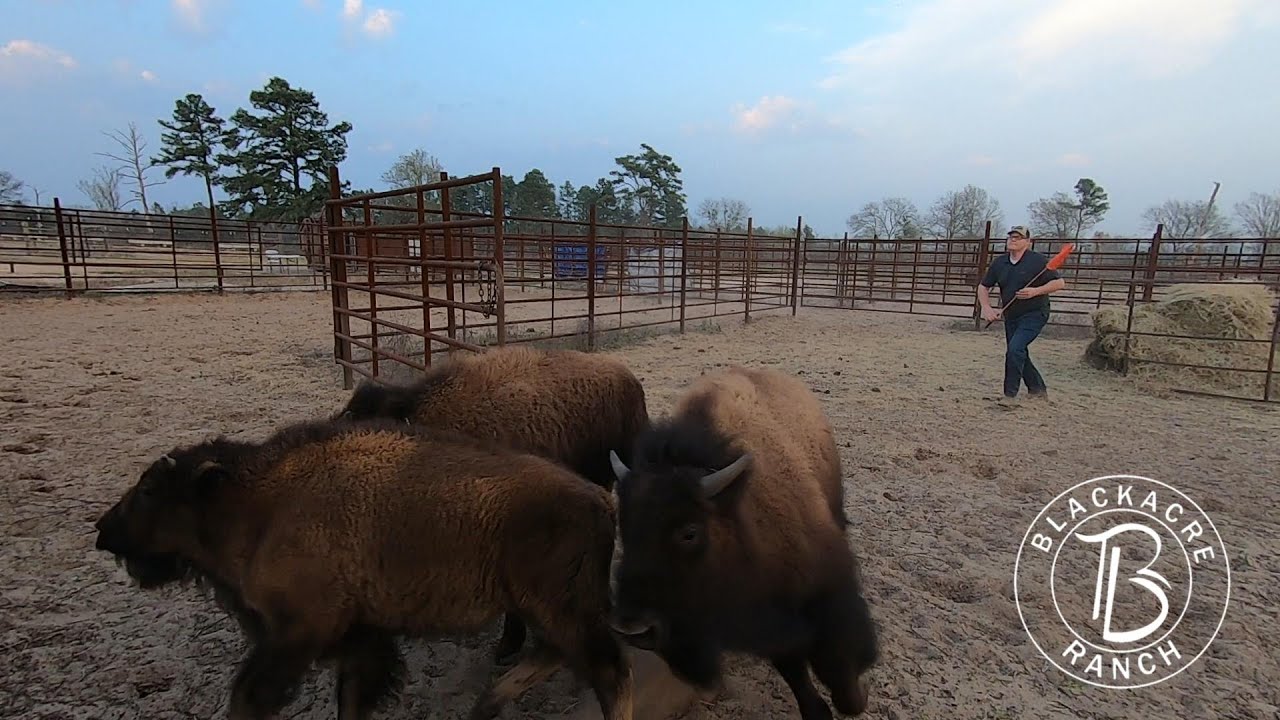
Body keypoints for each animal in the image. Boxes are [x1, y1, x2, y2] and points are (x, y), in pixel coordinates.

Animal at [93, 417, 633, 720]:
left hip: (560, 611)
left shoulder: (297, 633)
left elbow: (249, 698)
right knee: (559, 656)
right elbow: (350, 698)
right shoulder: (359, 640)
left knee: (609, 672)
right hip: (552, 613)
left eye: (149, 490)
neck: (262, 503)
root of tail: (600, 500)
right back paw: (484, 707)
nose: (102, 530)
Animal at [605, 365, 879, 720]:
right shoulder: (773, 629)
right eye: (623, 525)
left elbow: (838, 666)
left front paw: (860, 694)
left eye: (689, 532)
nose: (633, 628)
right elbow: (794, 668)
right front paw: (818, 710)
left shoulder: (827, 595)